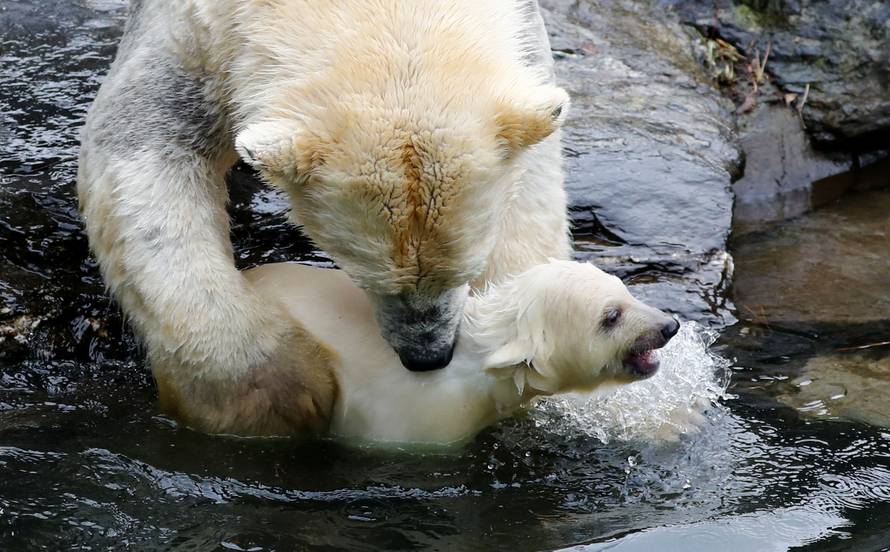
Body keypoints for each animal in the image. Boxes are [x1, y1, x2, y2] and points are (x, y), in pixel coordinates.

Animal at [77, 0, 571, 435]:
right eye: (367, 276)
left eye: (464, 271)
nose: (427, 356)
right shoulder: (196, 38)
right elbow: (141, 145)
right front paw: (281, 393)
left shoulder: (524, 34)